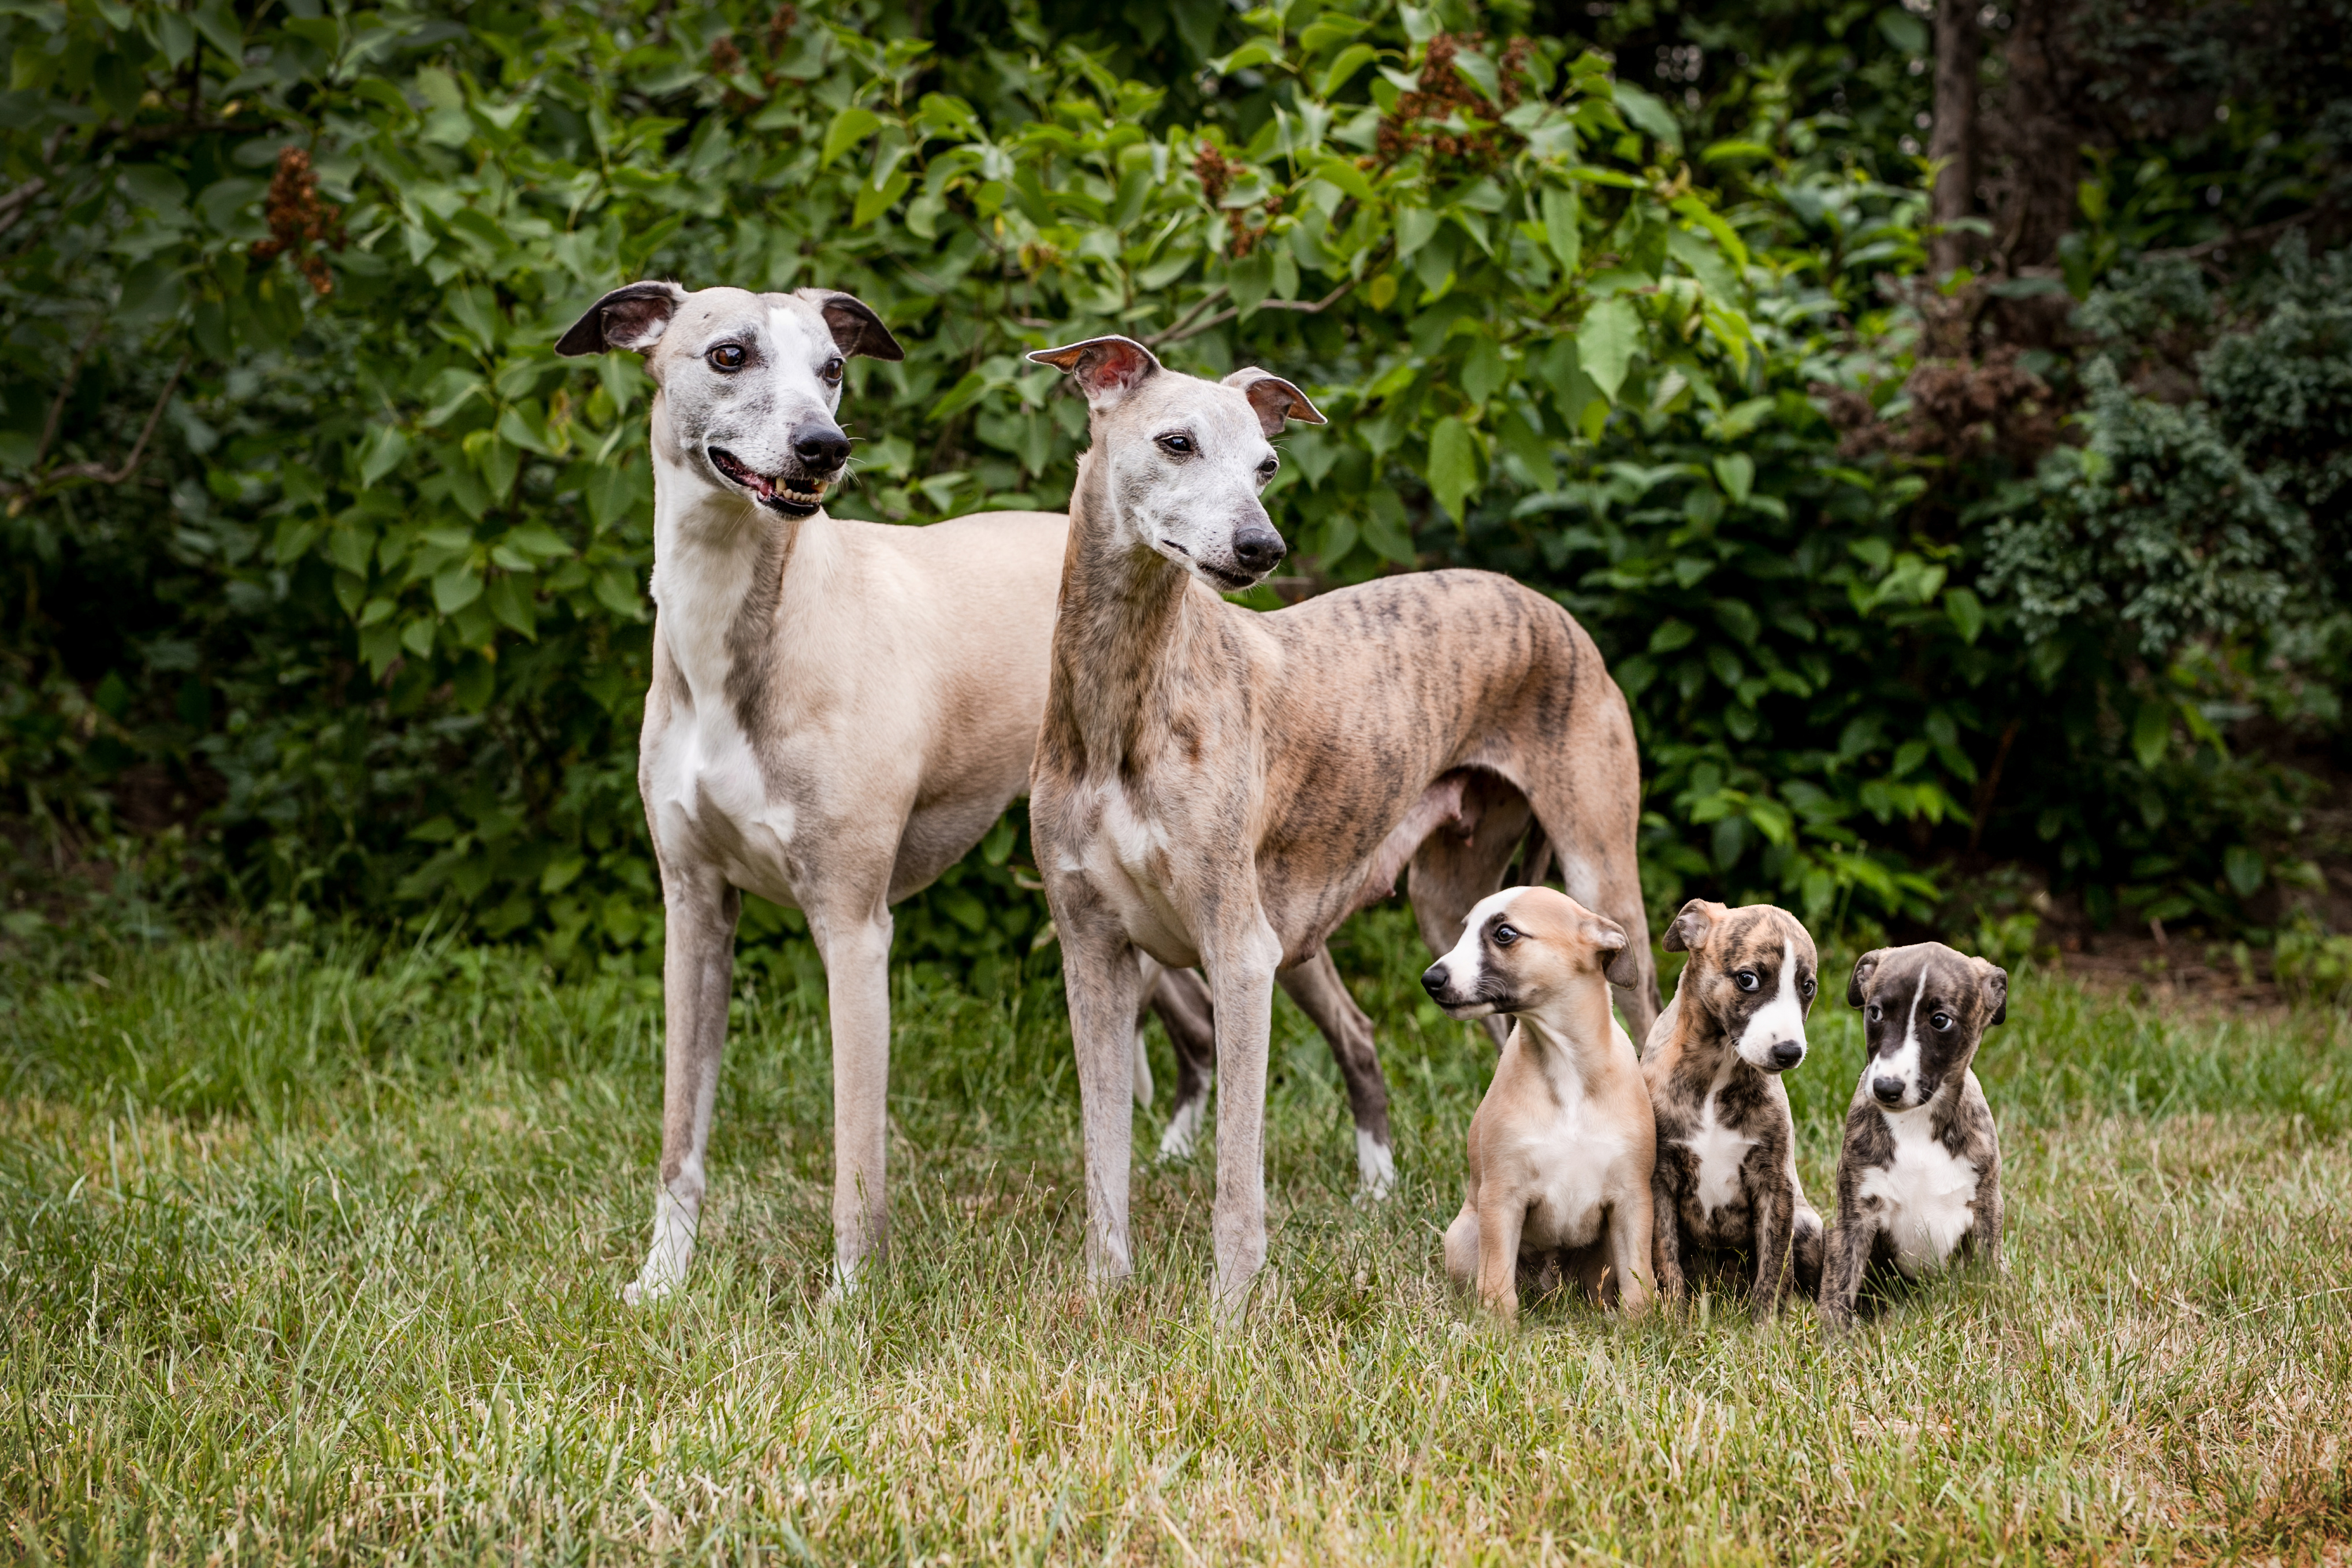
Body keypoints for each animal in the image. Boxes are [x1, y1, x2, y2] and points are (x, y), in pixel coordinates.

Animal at [1411, 889, 1655, 1316]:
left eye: (1504, 934)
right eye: (1464, 930)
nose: (1431, 980)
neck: (1566, 1070)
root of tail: (1550, 1283)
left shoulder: (1632, 1199)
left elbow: (1638, 1280)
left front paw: (1642, 1324)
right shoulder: (1501, 1197)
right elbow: (1496, 1280)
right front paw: (1497, 1326)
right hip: (1464, 1235)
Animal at [1646, 902, 1825, 1316]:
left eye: (1808, 987)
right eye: (1748, 979)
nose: (1790, 1052)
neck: (1718, 1069)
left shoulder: (1775, 1182)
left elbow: (1775, 1266)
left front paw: (1765, 1325)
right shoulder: (1660, 1177)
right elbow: (1665, 1256)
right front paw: (1674, 1318)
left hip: (1808, 1223)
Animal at [1815, 940, 2004, 1335]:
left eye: (1940, 1021)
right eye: (1874, 1012)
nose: (1886, 1087)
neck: (1916, 1122)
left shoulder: (1987, 1208)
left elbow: (1989, 1273)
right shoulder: (1855, 1215)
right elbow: (1839, 1283)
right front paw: (1834, 1339)